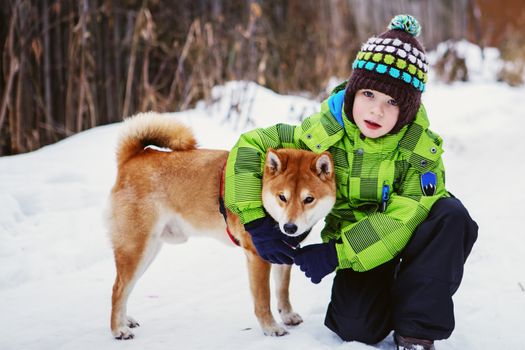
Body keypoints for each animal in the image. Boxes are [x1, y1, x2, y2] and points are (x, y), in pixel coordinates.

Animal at [108, 112, 336, 340]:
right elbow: (263, 299)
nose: (289, 228)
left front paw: (287, 315)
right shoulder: (258, 256)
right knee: (118, 289)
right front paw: (271, 327)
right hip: (137, 249)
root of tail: (133, 158)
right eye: (282, 197)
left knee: (125, 288)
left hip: (149, 250)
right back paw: (118, 329)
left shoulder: (283, 253)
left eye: (309, 199)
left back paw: (126, 320)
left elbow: (282, 290)